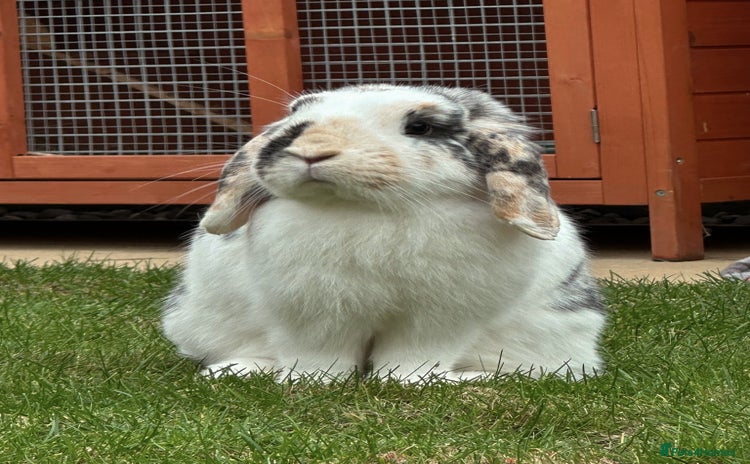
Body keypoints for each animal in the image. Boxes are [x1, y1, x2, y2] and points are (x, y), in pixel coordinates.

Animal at [162, 84, 607, 382]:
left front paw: (407, 383)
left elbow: (414, 357)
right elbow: (316, 356)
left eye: (421, 126)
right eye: (295, 120)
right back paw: (232, 371)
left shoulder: (439, 319)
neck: (367, 210)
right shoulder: (311, 315)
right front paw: (311, 384)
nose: (312, 151)